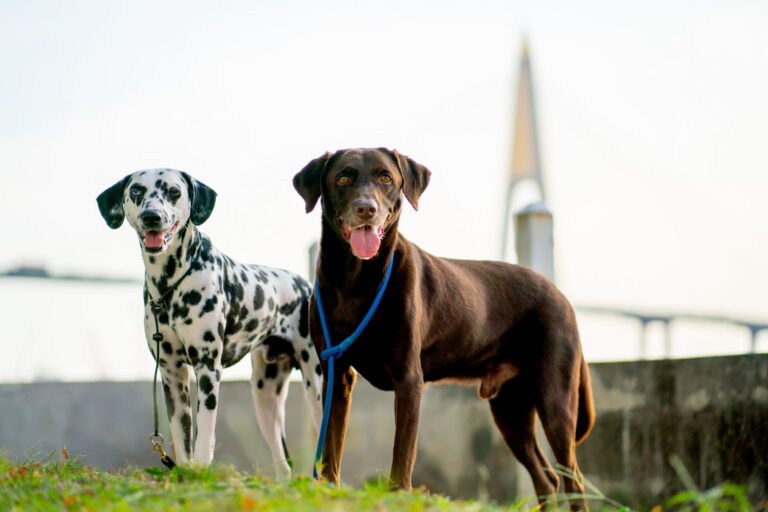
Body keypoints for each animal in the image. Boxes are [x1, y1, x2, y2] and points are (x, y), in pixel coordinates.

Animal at [97, 169, 324, 476]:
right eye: (136, 192)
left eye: (174, 191)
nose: (152, 216)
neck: (169, 286)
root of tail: (305, 285)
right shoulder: (172, 375)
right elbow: (182, 439)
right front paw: (186, 473)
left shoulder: (207, 370)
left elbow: (204, 435)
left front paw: (202, 469)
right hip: (265, 397)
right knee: (283, 463)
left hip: (317, 387)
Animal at [292, 147, 592, 504]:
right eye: (342, 178)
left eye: (385, 178)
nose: (367, 209)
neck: (356, 279)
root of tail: (560, 295)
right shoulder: (337, 372)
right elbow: (332, 445)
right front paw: (329, 489)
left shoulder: (409, 378)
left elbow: (403, 452)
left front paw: (399, 495)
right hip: (511, 410)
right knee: (547, 478)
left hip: (555, 401)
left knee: (573, 479)